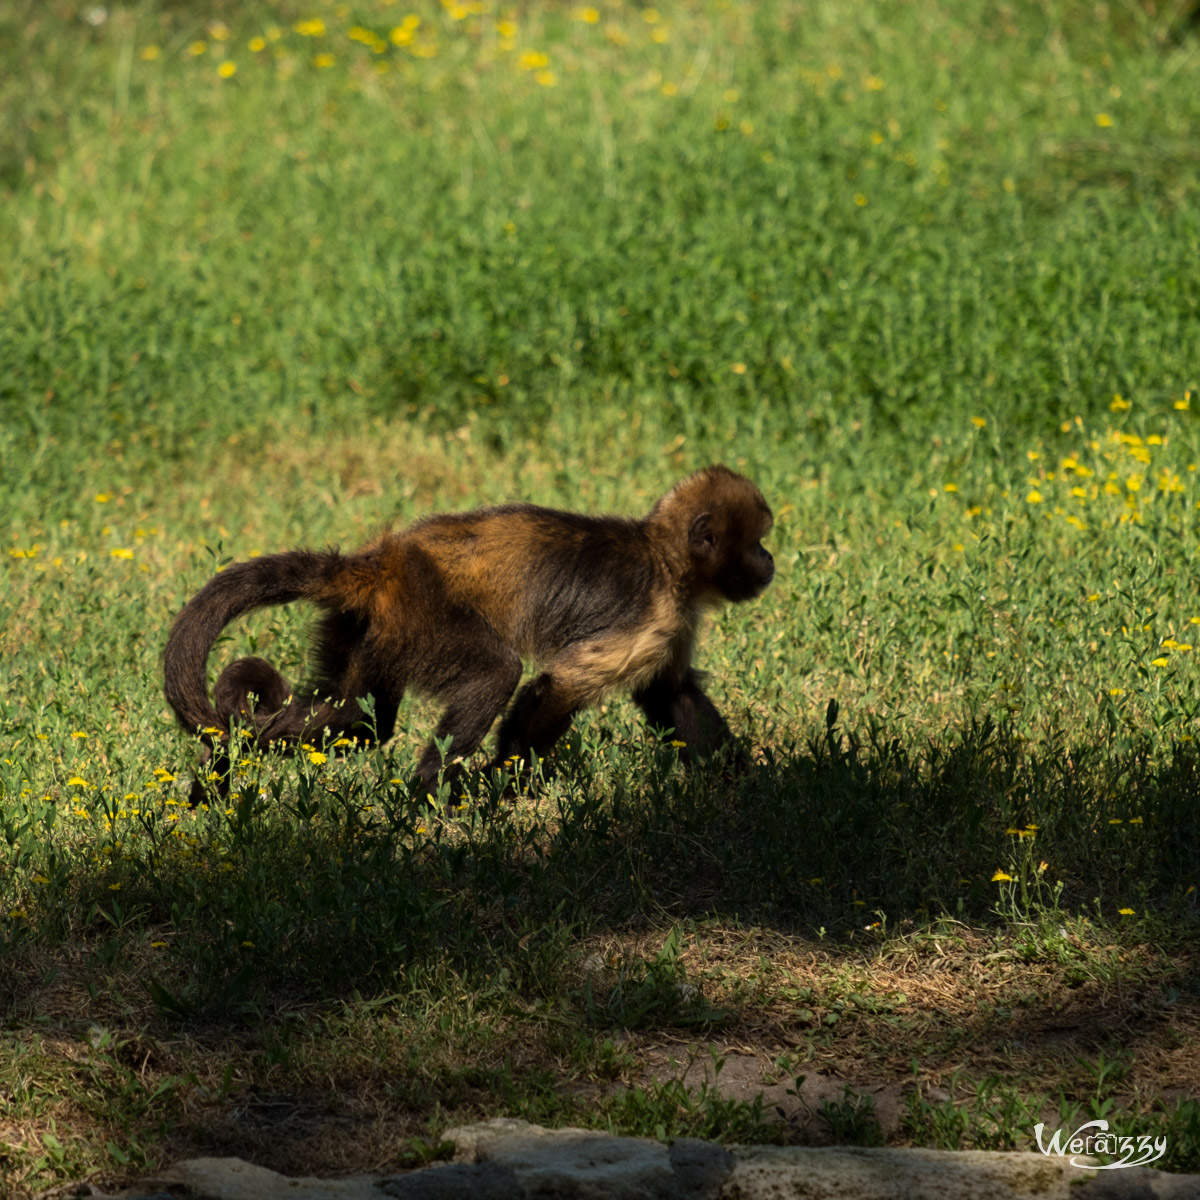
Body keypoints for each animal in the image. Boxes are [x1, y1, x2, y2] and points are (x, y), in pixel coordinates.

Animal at [162, 465, 777, 796]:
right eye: (756, 542)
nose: (770, 560)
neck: (668, 561)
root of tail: (385, 561)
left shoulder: (672, 622)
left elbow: (671, 693)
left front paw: (748, 785)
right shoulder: (655, 613)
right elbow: (556, 687)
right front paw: (510, 783)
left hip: (372, 627)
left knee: (353, 720)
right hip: (425, 611)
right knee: (494, 672)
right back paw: (429, 796)